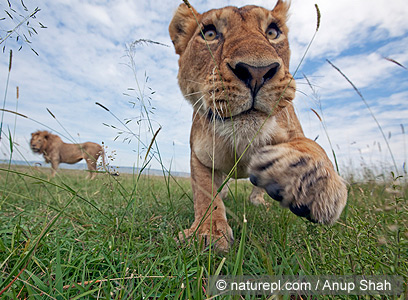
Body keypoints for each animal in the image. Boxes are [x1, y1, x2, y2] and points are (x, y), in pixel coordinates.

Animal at [169, 0, 348, 252]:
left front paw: (310, 182)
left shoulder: (291, 130)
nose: (256, 72)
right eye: (210, 34)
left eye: (272, 32)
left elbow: (311, 146)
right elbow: (205, 194)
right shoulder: (200, 155)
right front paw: (208, 233)